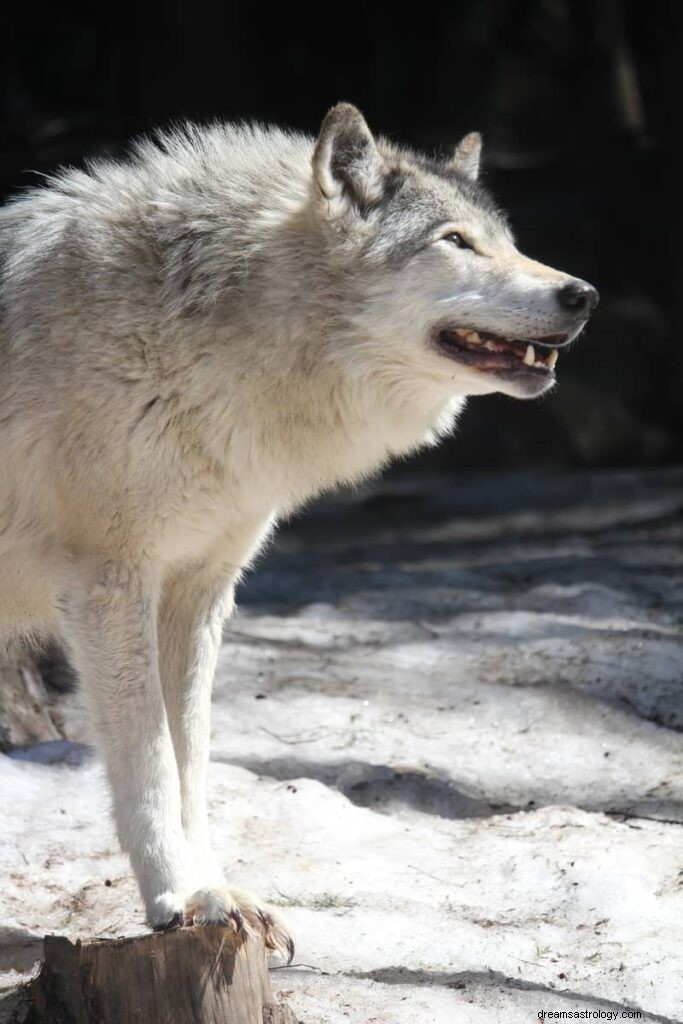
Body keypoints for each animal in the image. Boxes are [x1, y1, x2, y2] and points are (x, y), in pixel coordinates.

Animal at [0, 99, 598, 954]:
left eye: (507, 240)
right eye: (454, 241)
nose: (582, 294)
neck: (205, 332)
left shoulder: (197, 592)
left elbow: (189, 763)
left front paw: (215, 891)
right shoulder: (111, 586)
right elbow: (148, 764)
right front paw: (179, 897)